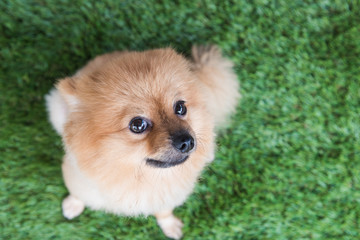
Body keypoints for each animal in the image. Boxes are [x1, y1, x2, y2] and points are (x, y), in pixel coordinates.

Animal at [46, 45, 240, 238]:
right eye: (137, 124)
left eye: (180, 107)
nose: (187, 141)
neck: (140, 178)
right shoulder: (79, 179)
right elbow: (78, 193)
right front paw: (73, 204)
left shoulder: (166, 197)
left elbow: (164, 213)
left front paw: (169, 226)